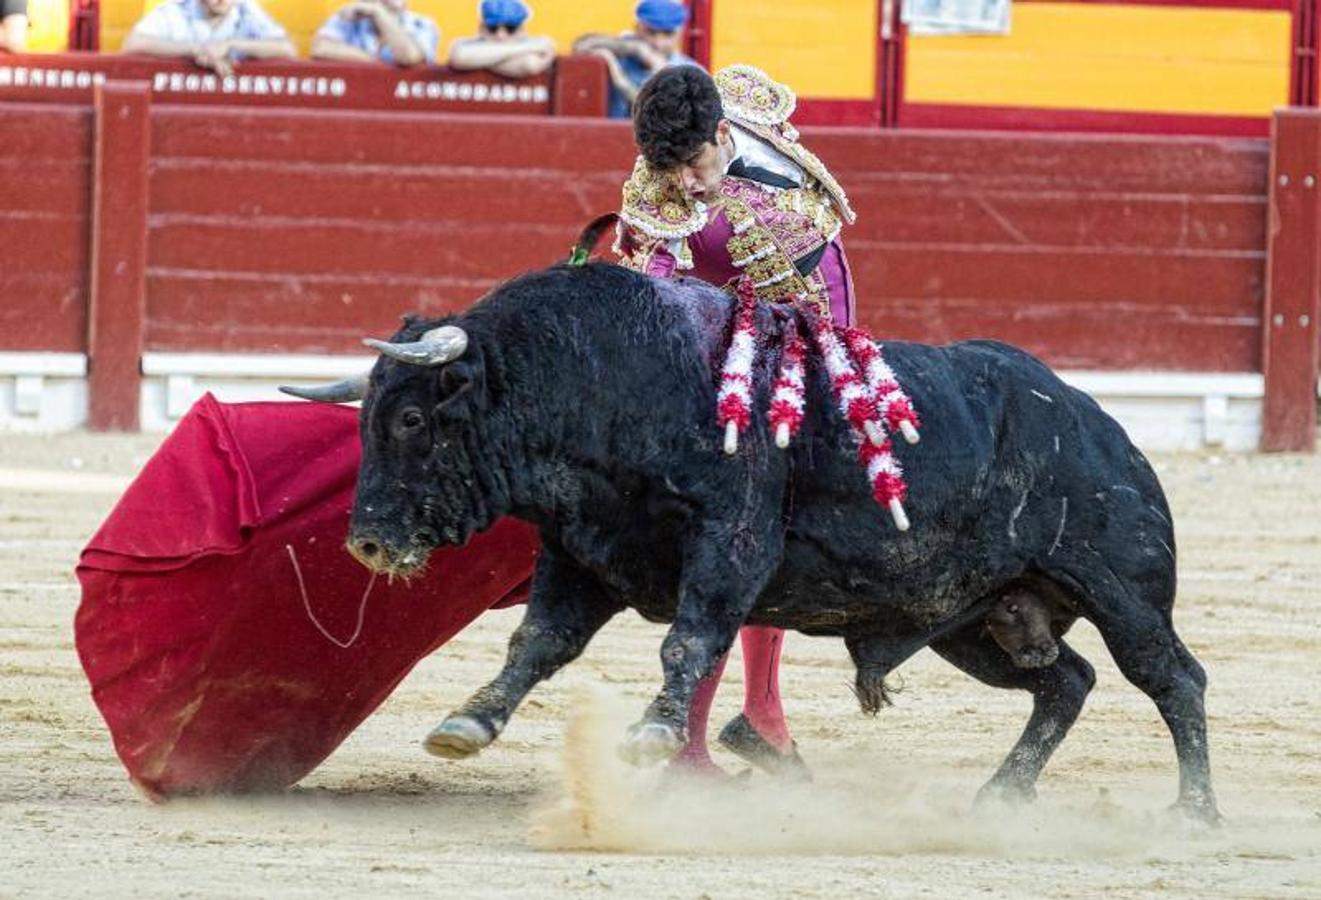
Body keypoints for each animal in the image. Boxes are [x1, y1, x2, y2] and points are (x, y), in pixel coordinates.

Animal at [289, 260, 1215, 819]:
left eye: (411, 419)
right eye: (368, 420)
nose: (366, 544)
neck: (606, 376)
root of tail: (1094, 420)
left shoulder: (729, 542)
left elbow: (689, 639)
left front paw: (653, 732)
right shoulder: (582, 554)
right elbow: (537, 642)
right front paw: (468, 721)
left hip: (1123, 592)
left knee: (1171, 678)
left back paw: (1195, 812)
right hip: (982, 621)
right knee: (1064, 681)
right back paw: (997, 797)